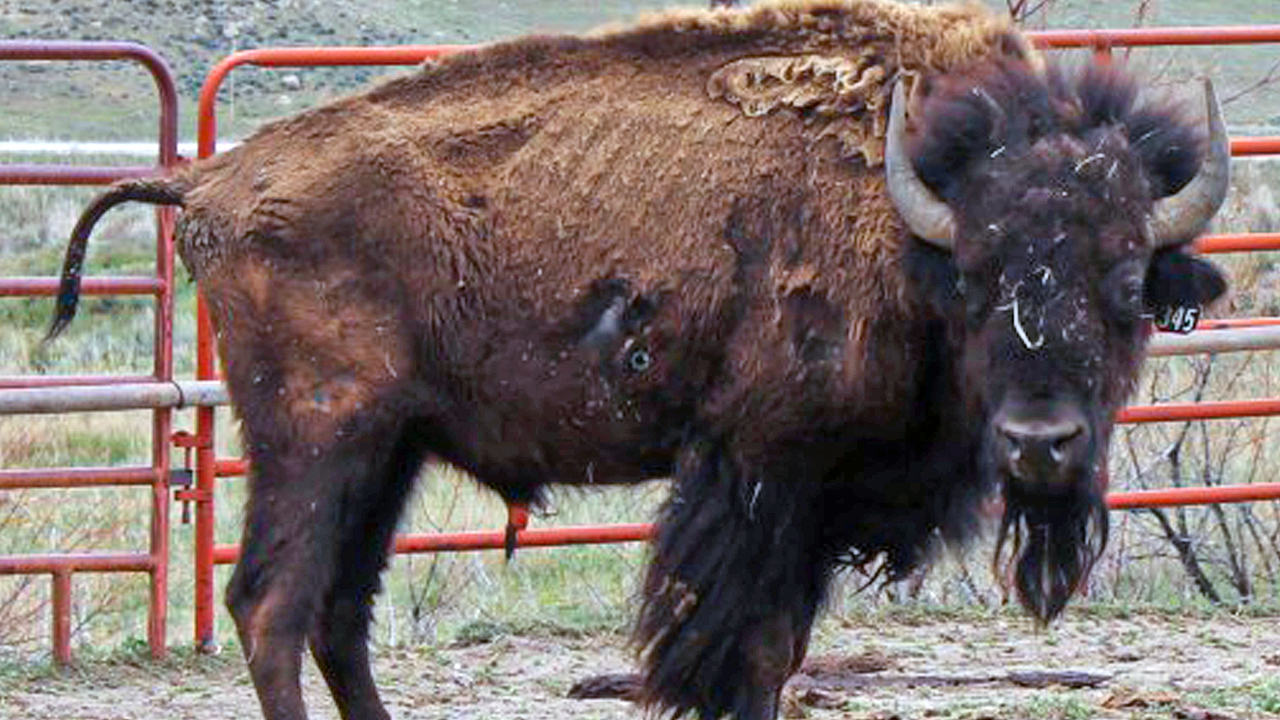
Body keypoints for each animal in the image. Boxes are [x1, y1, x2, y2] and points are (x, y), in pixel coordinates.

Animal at [48, 1, 1229, 719]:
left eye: (1130, 281)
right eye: (976, 278)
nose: (1039, 442)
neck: (910, 221)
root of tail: (210, 182)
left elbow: (777, 646)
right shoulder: (762, 471)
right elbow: (742, 651)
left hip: (390, 452)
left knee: (337, 613)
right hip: (317, 439)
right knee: (273, 606)